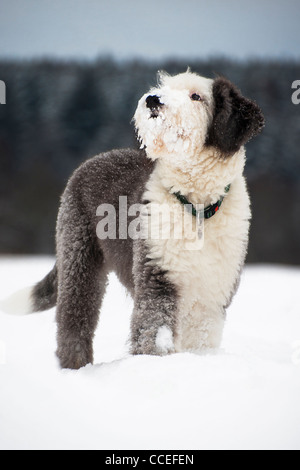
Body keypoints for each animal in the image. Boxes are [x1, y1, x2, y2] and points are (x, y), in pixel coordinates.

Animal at [4, 70, 264, 370]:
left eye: (196, 96)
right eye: (164, 85)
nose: (153, 99)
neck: (195, 206)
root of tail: (95, 159)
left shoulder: (212, 293)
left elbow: (200, 339)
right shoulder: (157, 276)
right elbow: (153, 330)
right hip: (78, 253)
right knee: (74, 317)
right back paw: (76, 366)